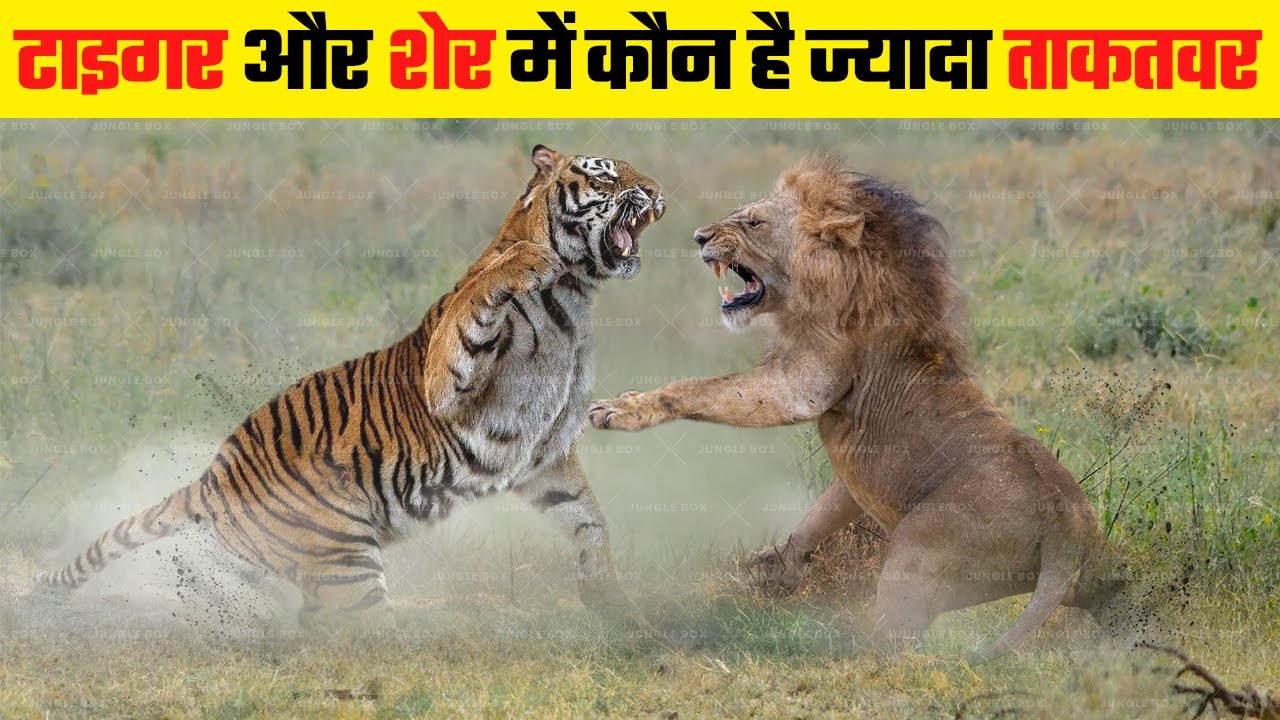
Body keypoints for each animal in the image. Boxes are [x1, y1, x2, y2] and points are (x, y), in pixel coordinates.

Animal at [35, 145, 666, 630]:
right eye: (606, 174)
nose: (658, 192)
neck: (577, 297)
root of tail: (212, 479)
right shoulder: (449, 379)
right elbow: (479, 296)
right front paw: (526, 261)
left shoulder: (545, 452)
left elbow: (587, 520)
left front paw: (611, 601)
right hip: (344, 561)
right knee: (361, 634)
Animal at [588, 155, 1123, 661]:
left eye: (755, 222)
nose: (699, 236)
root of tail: (1067, 528)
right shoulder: (850, 470)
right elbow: (824, 510)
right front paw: (777, 567)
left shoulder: (804, 381)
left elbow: (699, 389)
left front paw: (623, 409)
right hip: (1091, 578)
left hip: (917, 551)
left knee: (899, 642)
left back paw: (838, 647)